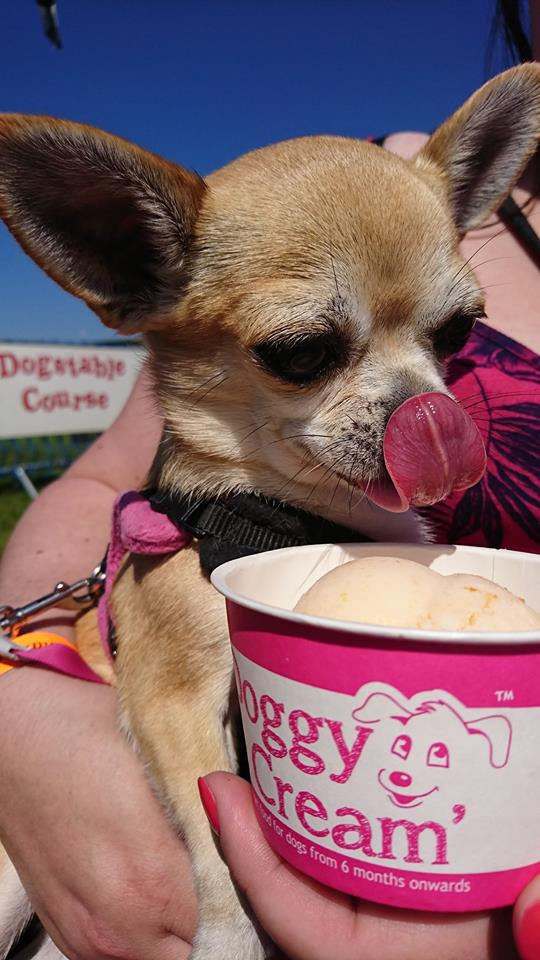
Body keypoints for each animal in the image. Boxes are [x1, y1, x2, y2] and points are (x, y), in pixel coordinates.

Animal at [1, 63, 539, 960]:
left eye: (460, 332)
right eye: (300, 353)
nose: (433, 417)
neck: (288, 513)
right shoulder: (171, 700)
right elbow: (212, 831)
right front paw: (231, 938)